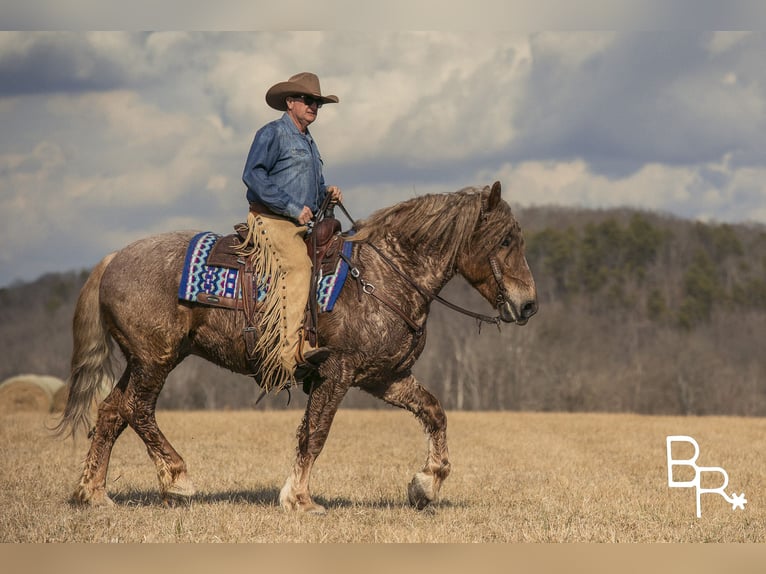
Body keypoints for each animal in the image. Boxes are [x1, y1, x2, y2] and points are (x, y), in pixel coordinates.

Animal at [55, 182, 540, 516]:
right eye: (504, 241)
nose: (529, 304)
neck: (381, 276)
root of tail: (112, 259)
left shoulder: (385, 378)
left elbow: (435, 412)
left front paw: (426, 483)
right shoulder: (338, 372)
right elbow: (315, 433)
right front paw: (300, 498)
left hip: (142, 360)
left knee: (112, 411)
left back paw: (94, 493)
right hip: (157, 359)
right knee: (137, 409)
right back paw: (176, 477)